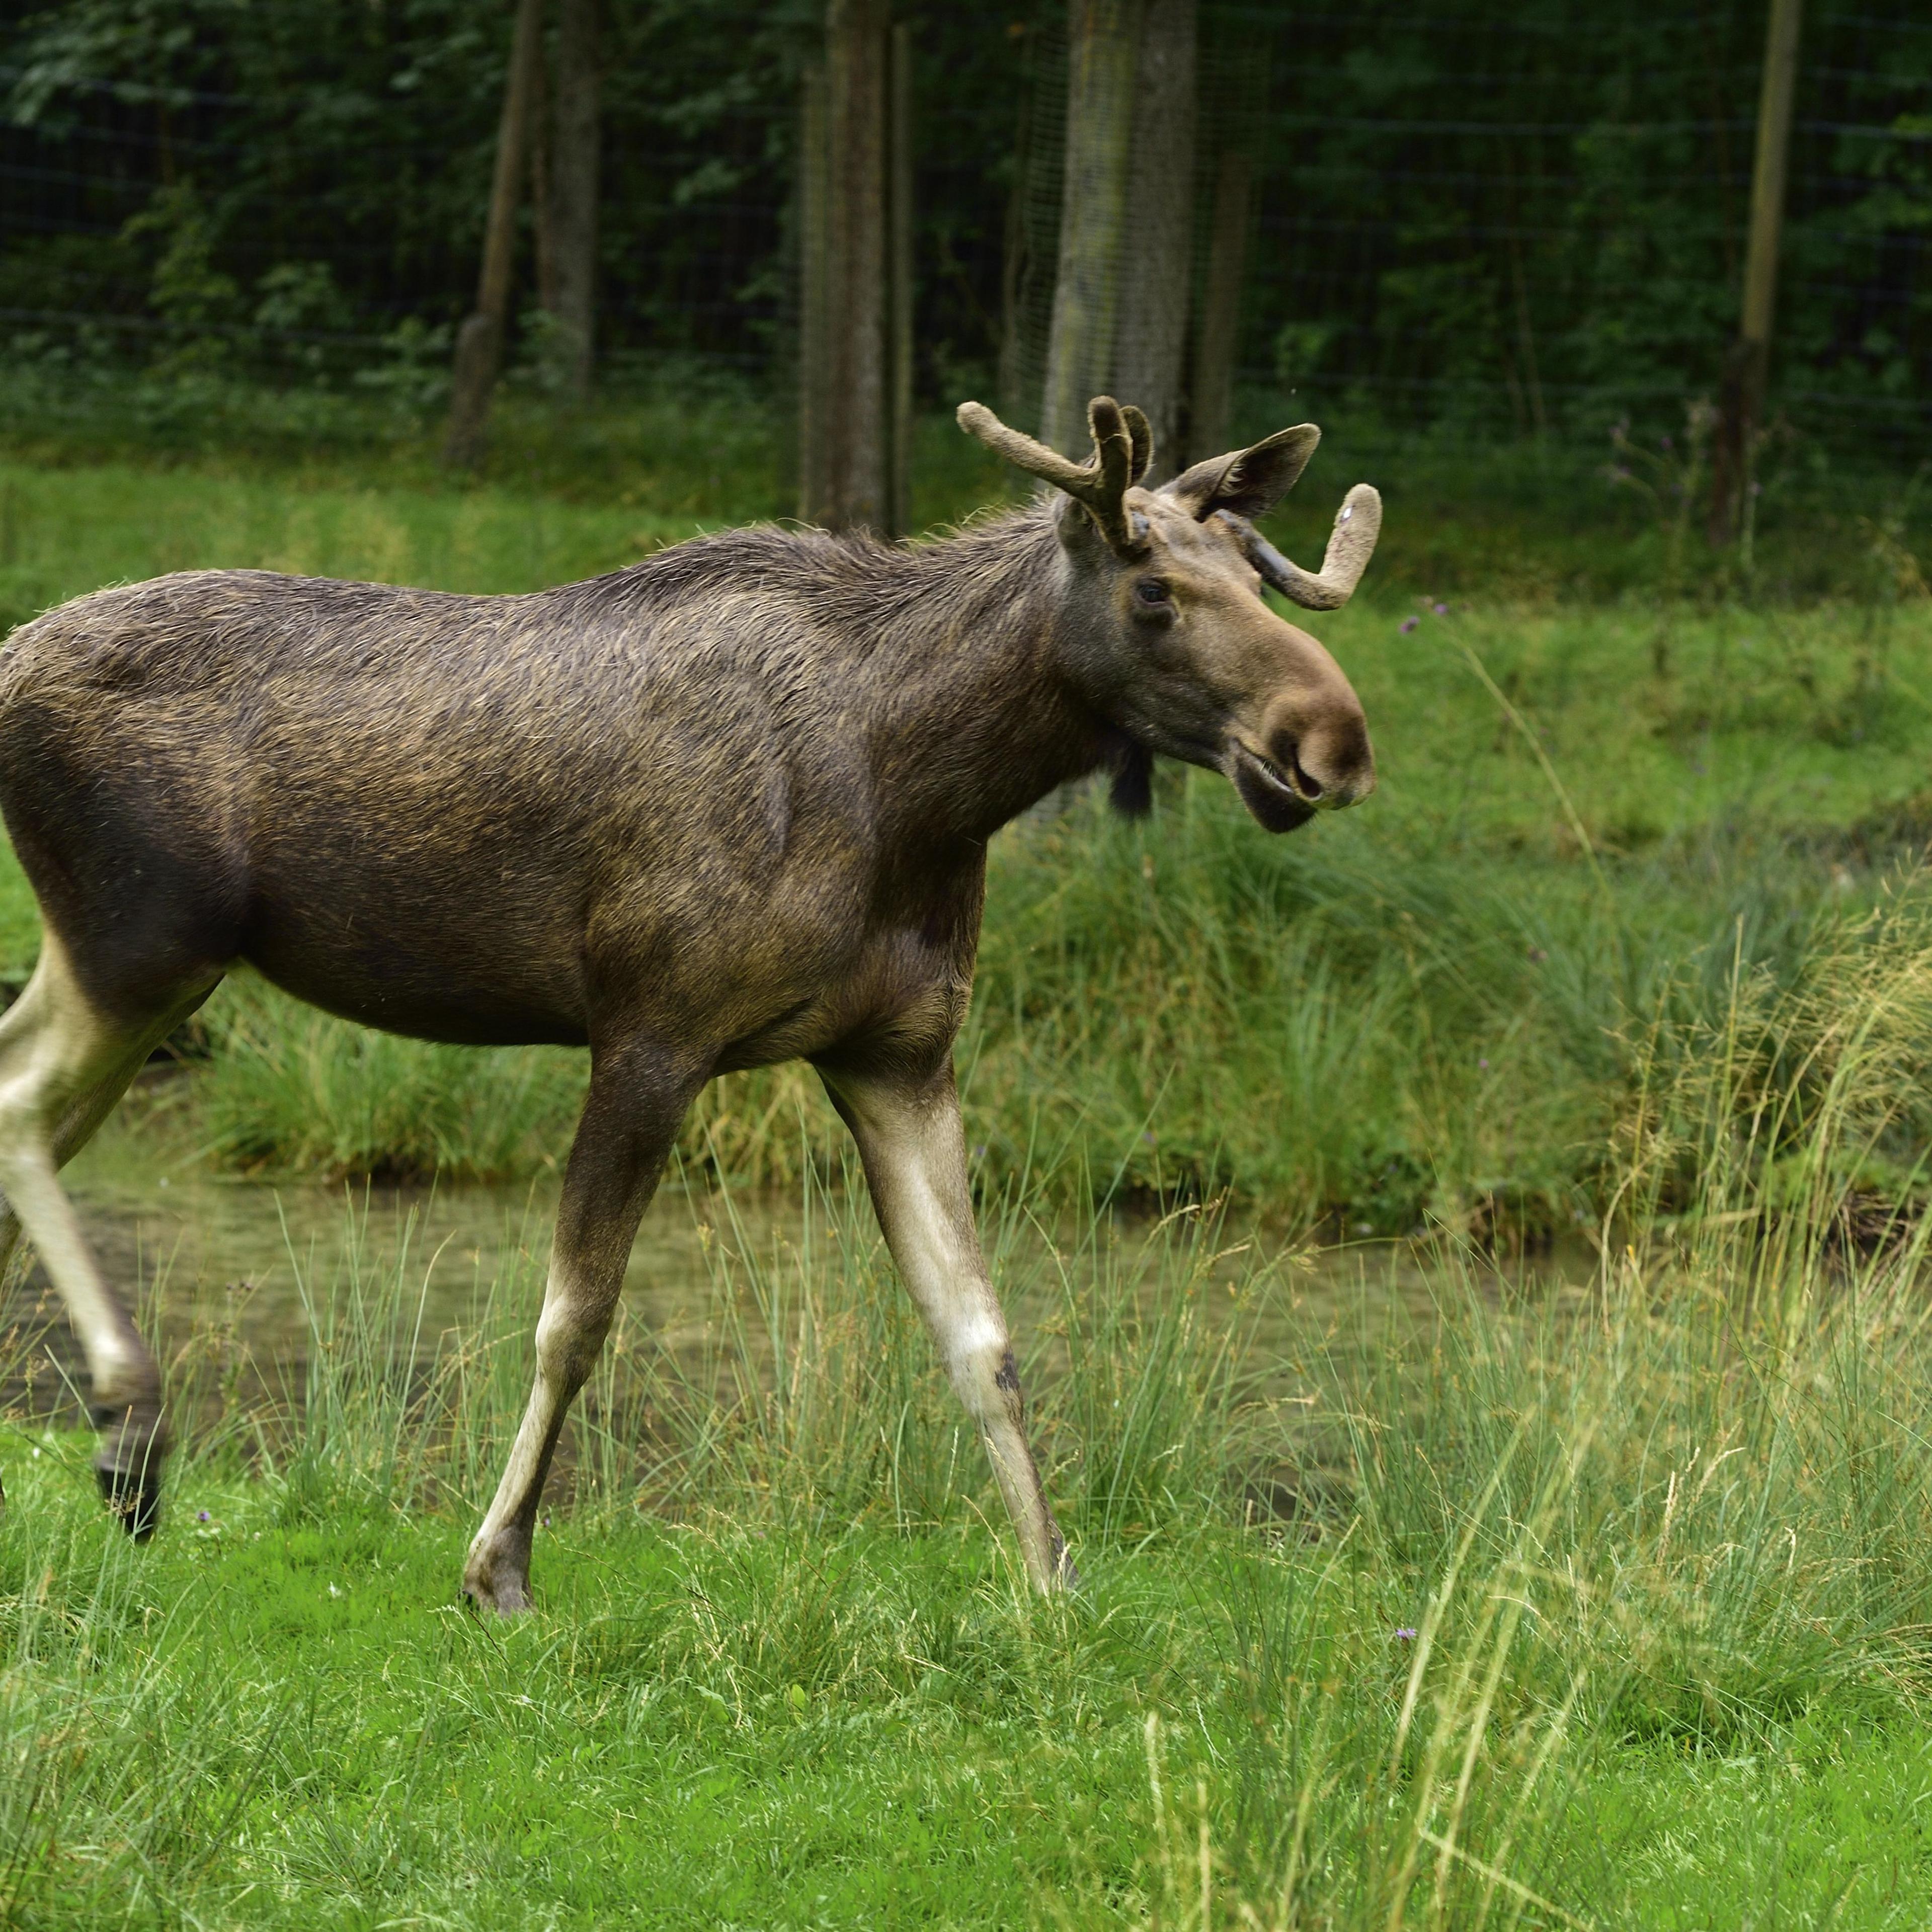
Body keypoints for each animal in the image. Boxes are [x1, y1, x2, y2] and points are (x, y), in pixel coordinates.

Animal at [0, 396, 1378, 1608]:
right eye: (1153, 594)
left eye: (1258, 580)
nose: (1334, 740)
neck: (926, 791)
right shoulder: (652, 1030)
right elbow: (575, 1319)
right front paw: (497, 1568)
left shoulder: (901, 1053)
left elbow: (980, 1336)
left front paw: (1053, 1581)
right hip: (140, 940)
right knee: (20, 1110)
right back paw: (135, 1436)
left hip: (134, 966)